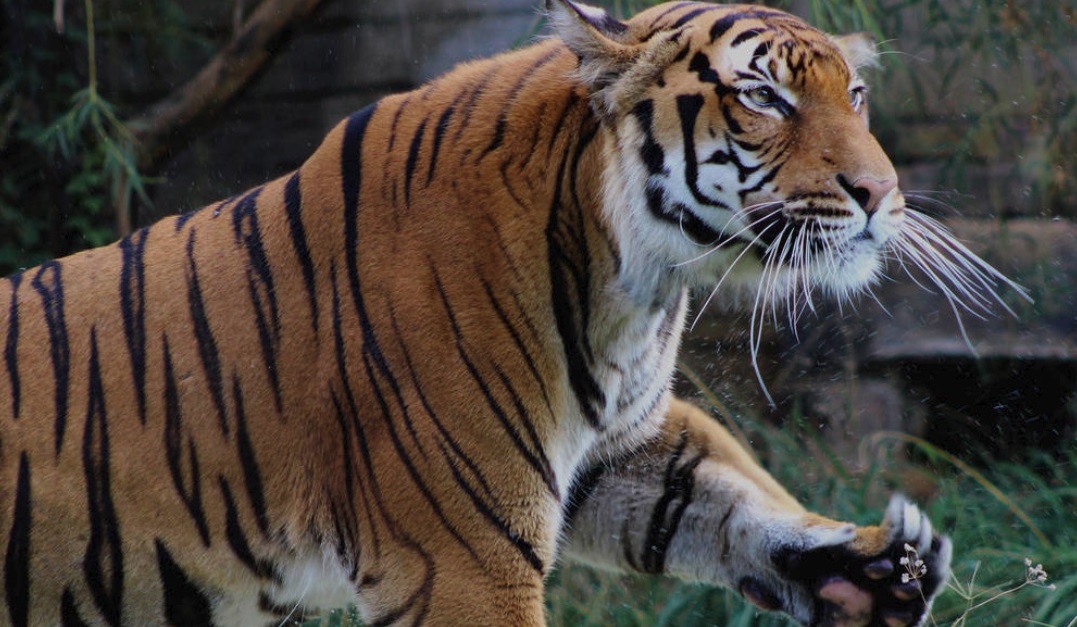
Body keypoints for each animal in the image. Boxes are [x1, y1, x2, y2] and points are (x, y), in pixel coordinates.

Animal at [4, 0, 1025, 624]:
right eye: (763, 97)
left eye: (852, 95)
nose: (881, 193)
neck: (631, 285)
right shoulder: (460, 557)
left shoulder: (616, 444)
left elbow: (721, 487)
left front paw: (872, 563)